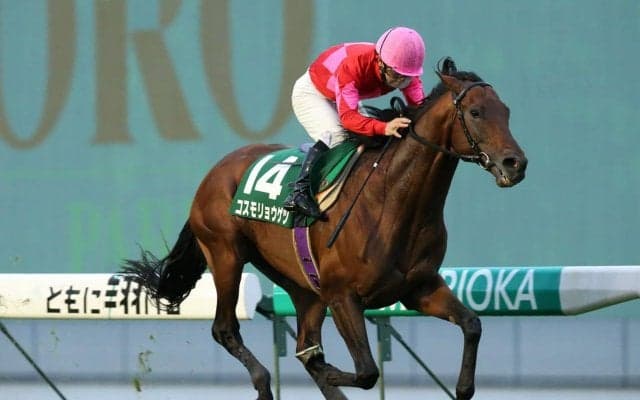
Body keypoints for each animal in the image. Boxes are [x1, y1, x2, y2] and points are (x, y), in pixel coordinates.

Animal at [122, 65, 527, 400]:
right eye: (475, 113)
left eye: (506, 111)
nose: (515, 163)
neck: (393, 200)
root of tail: (214, 172)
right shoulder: (343, 295)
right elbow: (366, 371)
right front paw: (332, 374)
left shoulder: (419, 288)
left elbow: (472, 324)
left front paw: (463, 388)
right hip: (225, 254)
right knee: (226, 329)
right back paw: (264, 382)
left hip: (304, 288)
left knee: (304, 343)